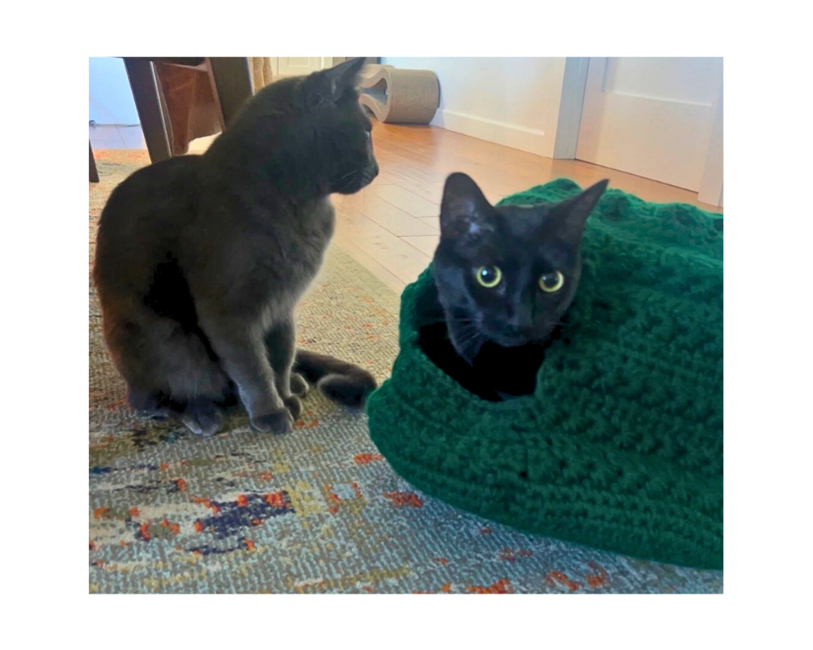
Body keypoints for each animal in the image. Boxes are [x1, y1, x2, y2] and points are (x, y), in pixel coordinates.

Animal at [93, 57, 379, 436]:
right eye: (365, 132)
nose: (377, 169)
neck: (303, 208)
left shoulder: (283, 306)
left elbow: (280, 355)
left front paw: (285, 395)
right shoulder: (229, 310)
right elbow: (252, 367)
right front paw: (271, 412)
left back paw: (296, 384)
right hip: (166, 338)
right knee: (161, 394)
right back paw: (201, 413)